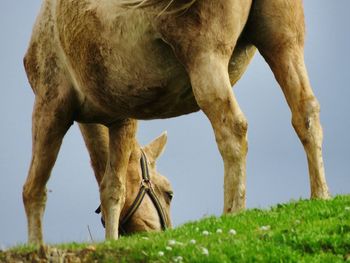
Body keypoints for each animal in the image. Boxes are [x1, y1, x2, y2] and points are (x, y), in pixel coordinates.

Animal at [23, 0, 330, 245]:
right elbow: (112, 188)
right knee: (305, 111)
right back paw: (320, 197)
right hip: (284, 43)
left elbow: (35, 188)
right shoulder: (122, 117)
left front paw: (37, 248)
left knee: (232, 129)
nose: (161, 233)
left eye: (170, 193)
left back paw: (232, 213)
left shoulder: (50, 108)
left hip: (206, 57)